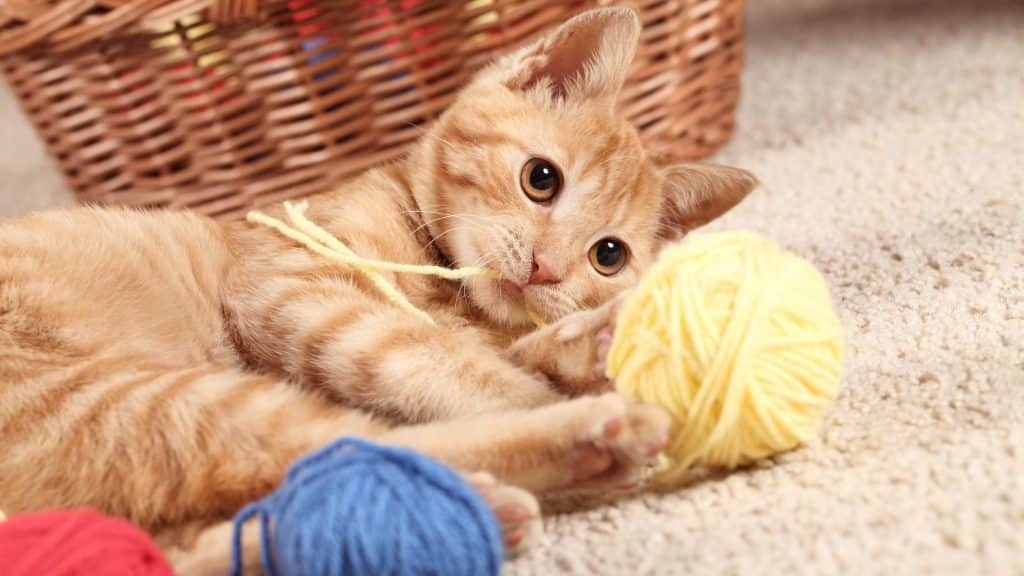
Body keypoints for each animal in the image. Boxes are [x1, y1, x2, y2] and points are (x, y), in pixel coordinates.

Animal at [0, 7, 753, 569]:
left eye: (607, 255)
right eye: (541, 178)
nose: (546, 267)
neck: (448, 289)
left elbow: (505, 350)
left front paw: (590, 343)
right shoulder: (291, 288)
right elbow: (450, 367)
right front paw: (567, 383)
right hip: (152, 402)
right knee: (350, 444)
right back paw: (593, 439)